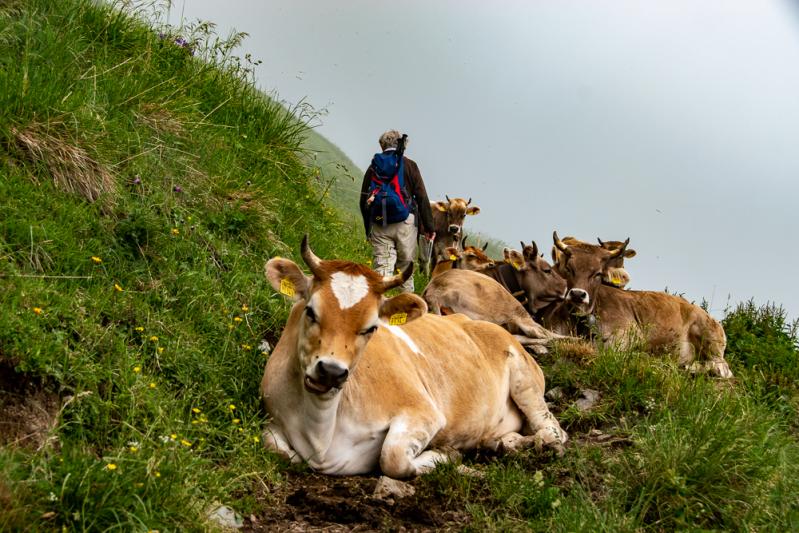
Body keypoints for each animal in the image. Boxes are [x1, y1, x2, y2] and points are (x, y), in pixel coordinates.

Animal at [260, 237, 564, 478]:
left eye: (372, 327)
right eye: (310, 311)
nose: (331, 371)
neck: (320, 432)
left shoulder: (424, 412)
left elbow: (393, 459)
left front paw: (449, 456)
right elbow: (278, 448)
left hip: (526, 383)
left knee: (554, 430)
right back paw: (499, 443)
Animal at [548, 233, 736, 378]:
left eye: (598, 274)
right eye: (569, 268)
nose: (577, 294)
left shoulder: (628, 333)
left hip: (708, 337)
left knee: (722, 368)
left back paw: (689, 367)